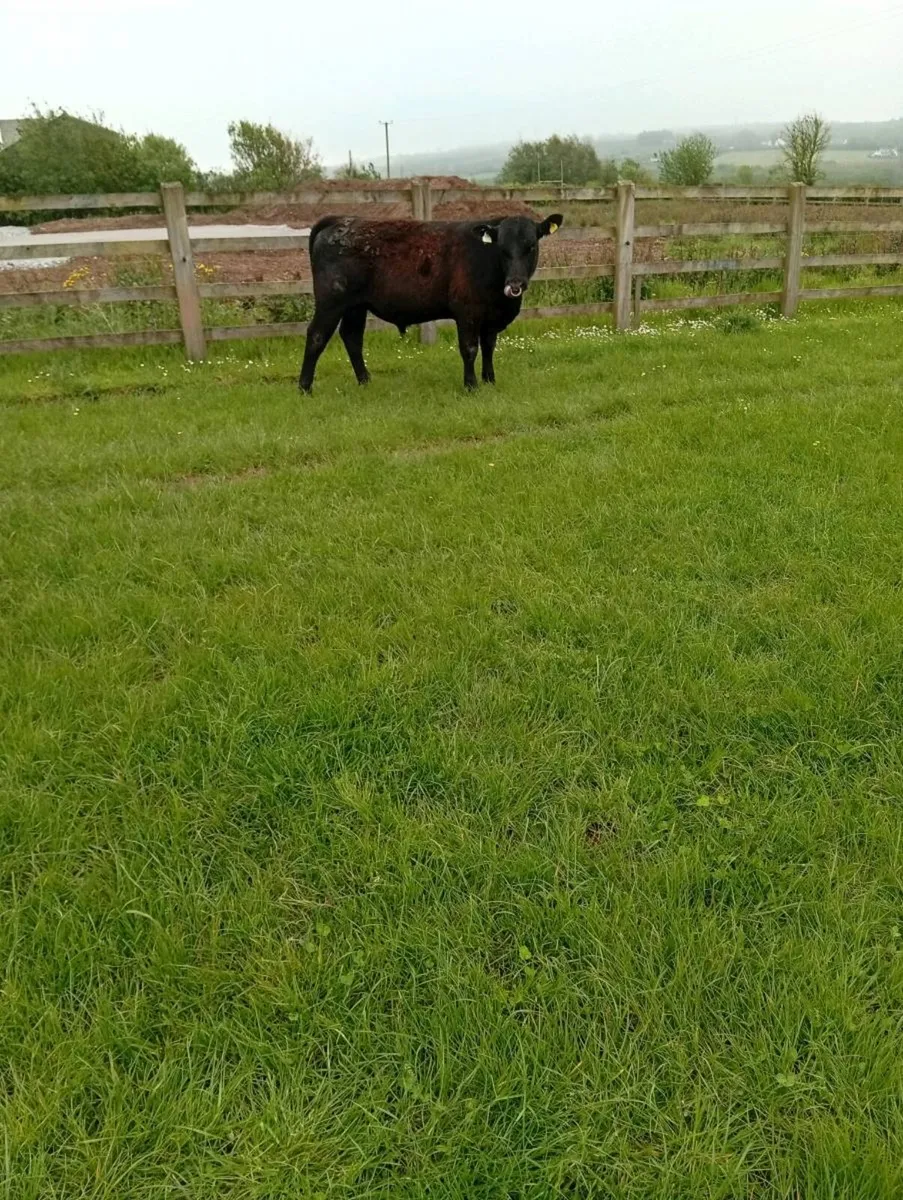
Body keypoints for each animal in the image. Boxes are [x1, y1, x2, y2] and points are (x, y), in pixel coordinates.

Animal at [298, 212, 565, 393]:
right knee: (317, 335)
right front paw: (471, 385)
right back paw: (305, 387)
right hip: (331, 301)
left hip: (356, 306)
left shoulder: (490, 318)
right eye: (502, 248)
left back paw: (365, 380)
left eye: (531, 246)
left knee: (352, 337)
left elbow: (489, 347)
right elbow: (470, 348)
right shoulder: (467, 313)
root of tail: (341, 220)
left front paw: (489, 380)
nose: (515, 284)